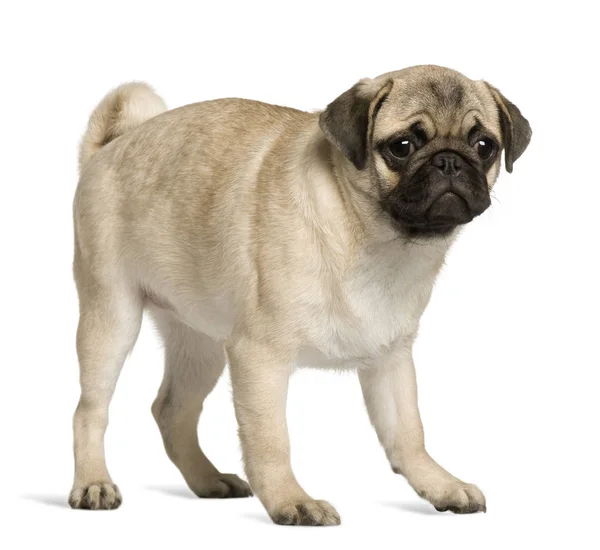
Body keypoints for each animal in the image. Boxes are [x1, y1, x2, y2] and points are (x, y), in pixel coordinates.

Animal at [68, 66, 532, 528]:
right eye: (402, 147)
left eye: (484, 146)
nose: (450, 160)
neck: (374, 241)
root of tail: (109, 148)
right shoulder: (260, 357)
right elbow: (270, 440)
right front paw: (290, 500)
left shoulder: (391, 359)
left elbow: (408, 434)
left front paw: (438, 484)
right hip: (112, 316)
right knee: (90, 410)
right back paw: (93, 483)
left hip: (200, 345)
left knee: (172, 411)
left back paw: (207, 479)